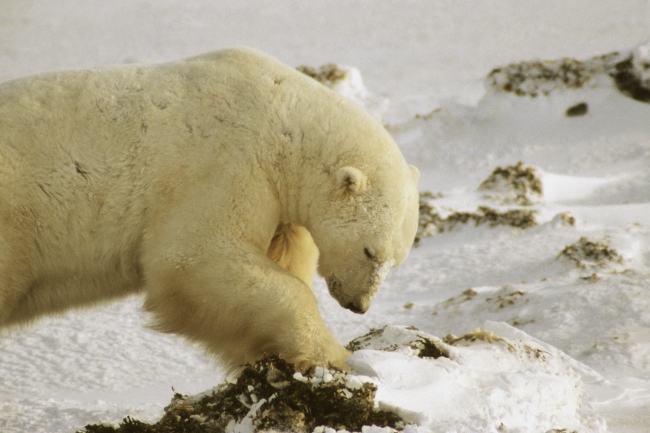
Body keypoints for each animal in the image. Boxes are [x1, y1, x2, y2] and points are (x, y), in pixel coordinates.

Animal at [0, 49, 418, 370]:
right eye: (369, 250)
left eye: (395, 261)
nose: (359, 305)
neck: (285, 121)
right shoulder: (227, 163)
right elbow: (192, 258)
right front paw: (337, 358)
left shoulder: (277, 202)